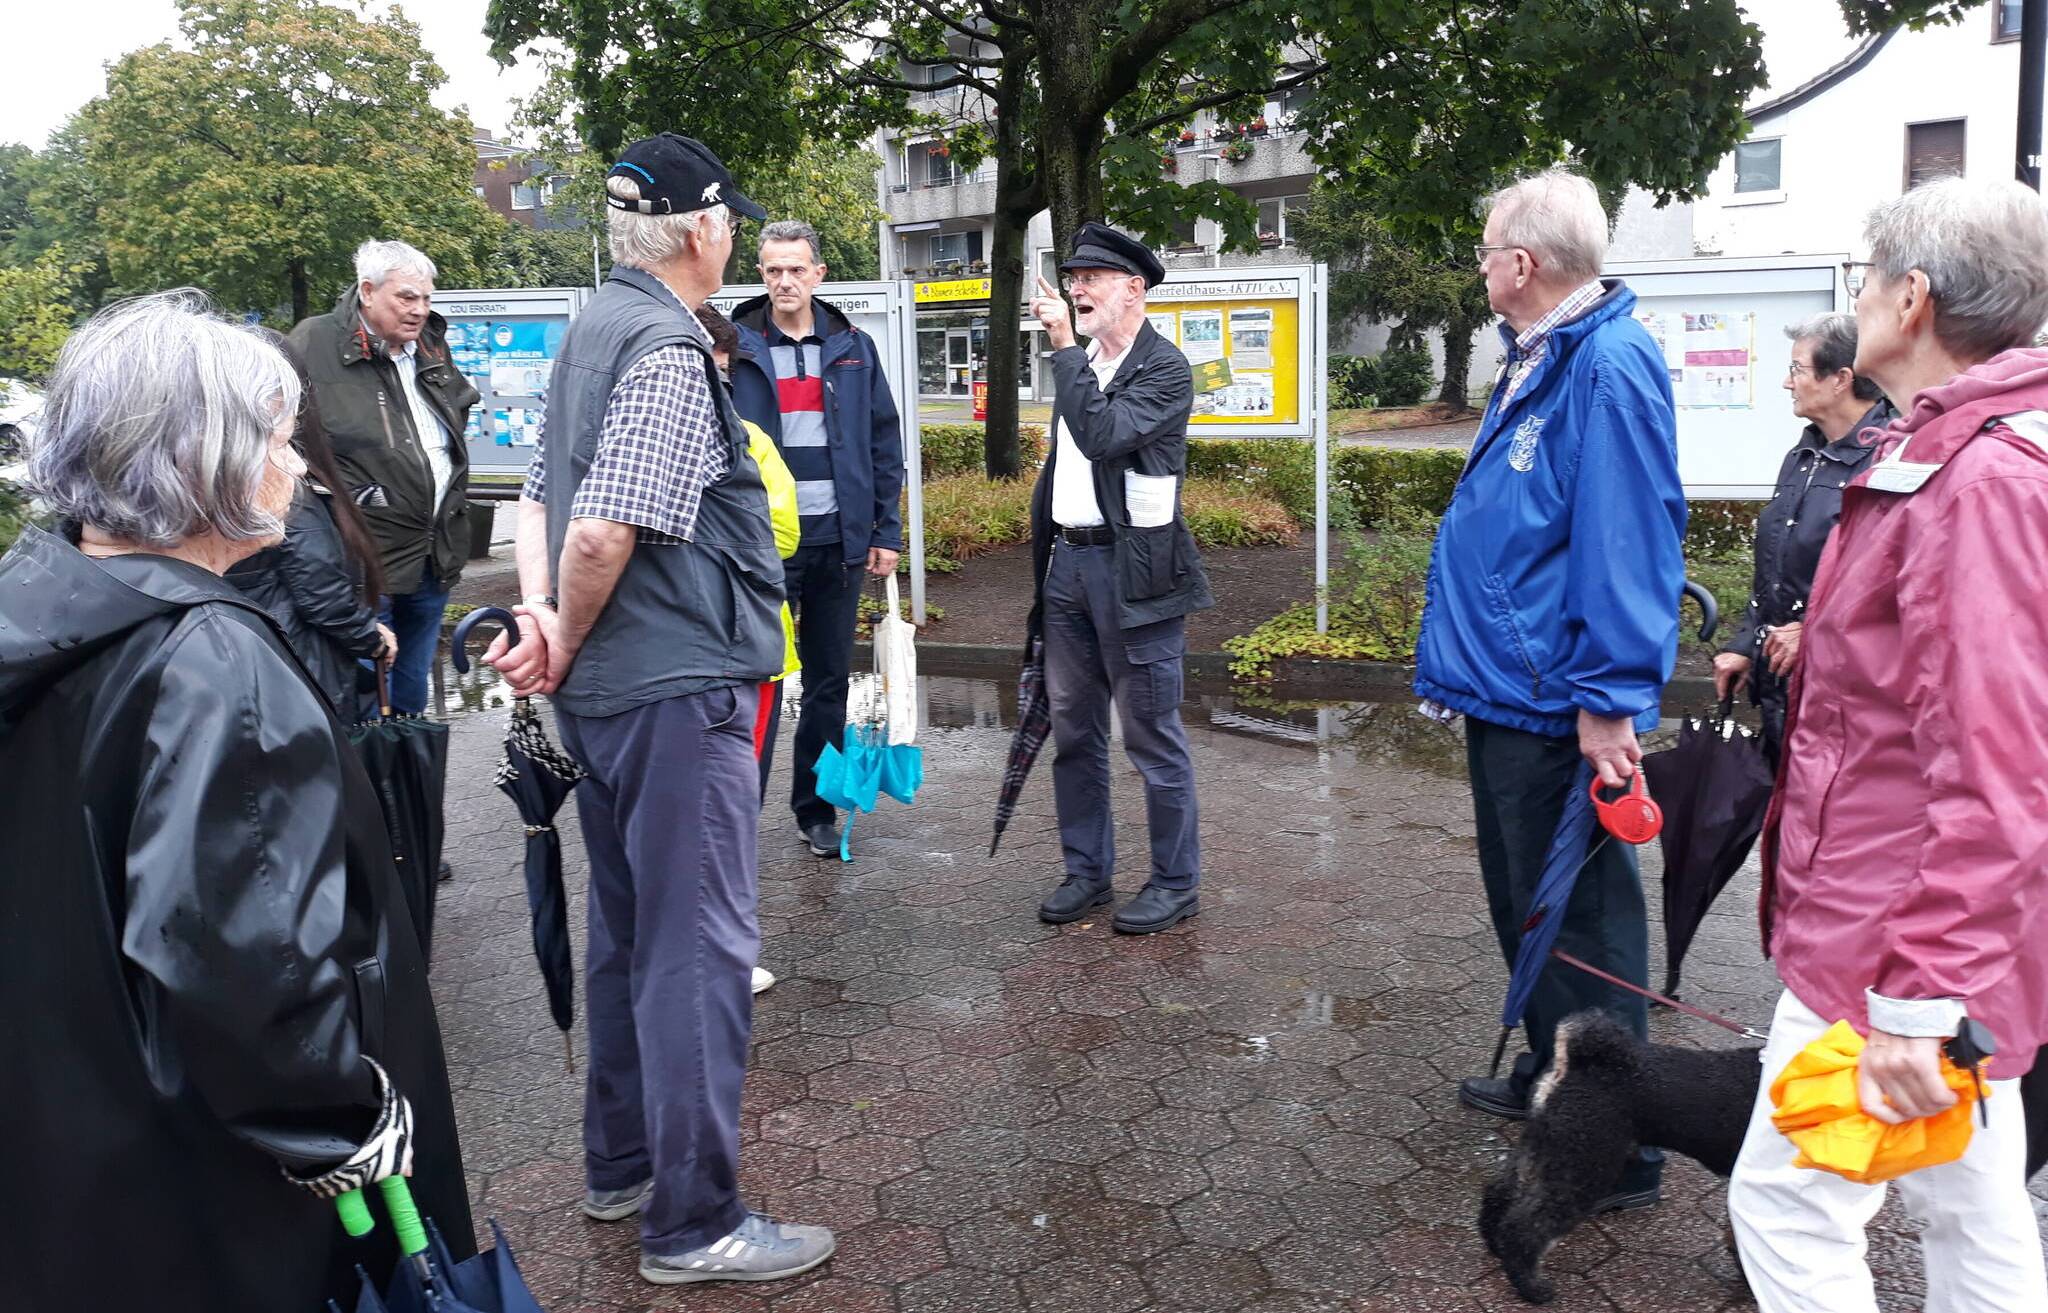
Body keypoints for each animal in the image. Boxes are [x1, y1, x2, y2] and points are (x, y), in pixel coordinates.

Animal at [1482, 1003, 2048, 1302]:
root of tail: (1582, 1060)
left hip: (1553, 1146)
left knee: (1499, 1192)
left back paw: (1493, 1244)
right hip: (1583, 1160)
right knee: (1529, 1223)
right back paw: (1529, 1284)